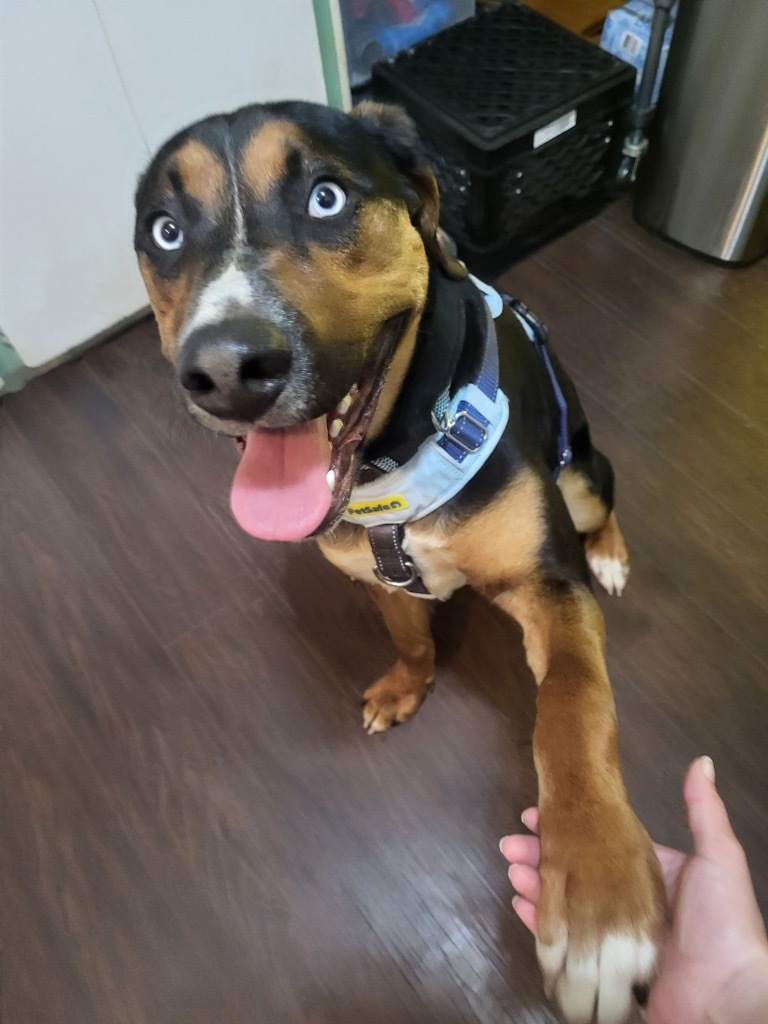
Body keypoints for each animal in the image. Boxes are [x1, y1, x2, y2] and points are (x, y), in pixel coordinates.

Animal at [137, 99, 667, 1019]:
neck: (396, 451)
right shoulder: (375, 571)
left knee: (603, 501)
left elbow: (572, 706)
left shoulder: (546, 585)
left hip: (580, 471)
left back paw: (610, 553)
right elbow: (410, 636)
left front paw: (598, 895)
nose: (224, 370)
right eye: (165, 230)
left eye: (326, 196)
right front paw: (403, 689)